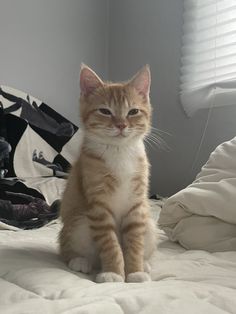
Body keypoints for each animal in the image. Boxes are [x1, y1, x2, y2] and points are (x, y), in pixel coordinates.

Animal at [59, 65, 157, 284]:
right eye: (105, 111)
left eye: (133, 111)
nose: (121, 125)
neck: (119, 151)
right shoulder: (98, 206)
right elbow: (110, 244)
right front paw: (113, 272)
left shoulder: (137, 206)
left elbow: (135, 243)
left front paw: (135, 271)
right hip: (78, 222)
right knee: (65, 248)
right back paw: (79, 261)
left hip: (149, 223)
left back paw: (146, 264)